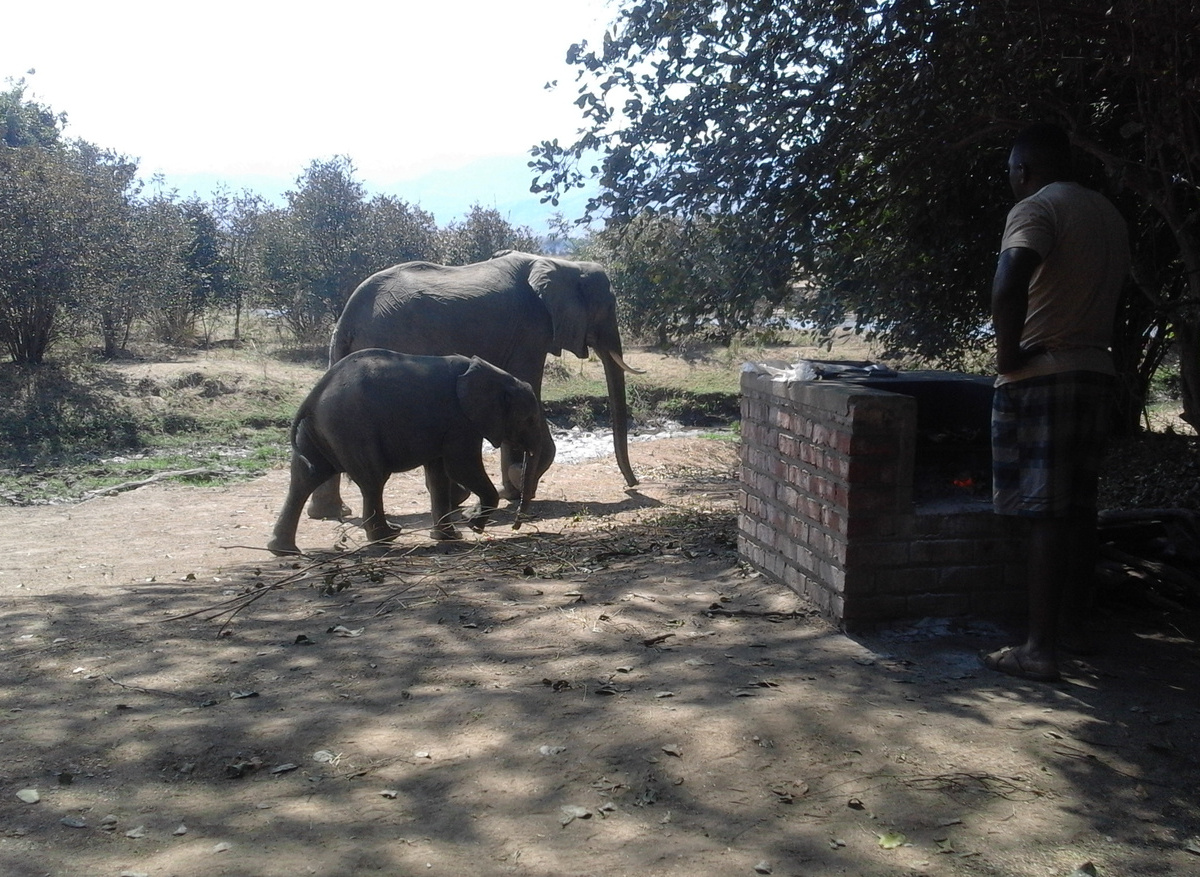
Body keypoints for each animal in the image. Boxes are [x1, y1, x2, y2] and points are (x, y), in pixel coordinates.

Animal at [268, 350, 548, 555]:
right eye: (530, 419)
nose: (517, 526)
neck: (494, 374)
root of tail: (315, 393)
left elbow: (439, 474)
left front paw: (451, 535)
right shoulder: (460, 420)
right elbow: (461, 466)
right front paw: (473, 525)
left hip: (320, 429)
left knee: (304, 478)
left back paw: (283, 550)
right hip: (351, 427)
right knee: (372, 480)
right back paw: (388, 536)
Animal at [305, 250, 640, 520]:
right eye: (610, 306)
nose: (632, 485)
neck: (561, 263)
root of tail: (348, 317)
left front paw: (513, 488)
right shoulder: (531, 328)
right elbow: (527, 383)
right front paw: (520, 483)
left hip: (342, 353)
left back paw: (330, 513)